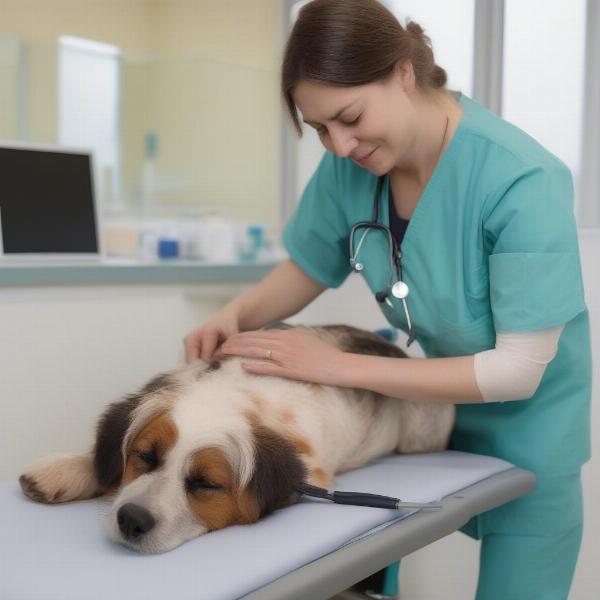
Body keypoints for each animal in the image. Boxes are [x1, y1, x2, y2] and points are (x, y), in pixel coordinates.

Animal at [17, 326, 454, 556]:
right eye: (145, 457)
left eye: (205, 484)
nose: (131, 519)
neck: (238, 394)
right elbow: (99, 455)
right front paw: (64, 470)